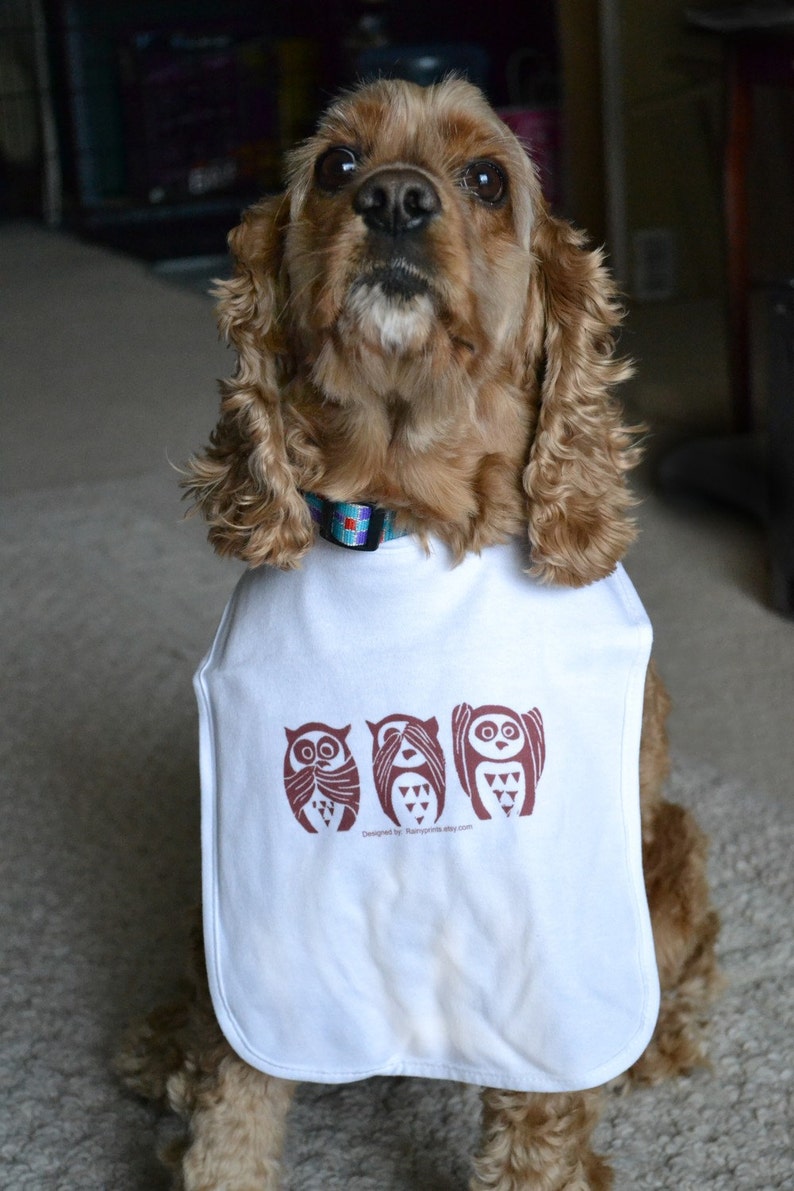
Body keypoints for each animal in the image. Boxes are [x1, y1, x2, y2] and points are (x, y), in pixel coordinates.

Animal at [117, 79, 719, 1186]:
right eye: (336, 165)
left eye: (486, 177)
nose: (394, 199)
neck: (406, 516)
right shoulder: (265, 921)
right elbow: (236, 1091)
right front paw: (209, 1135)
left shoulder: (549, 968)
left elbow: (536, 1132)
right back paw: (160, 1047)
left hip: (671, 845)